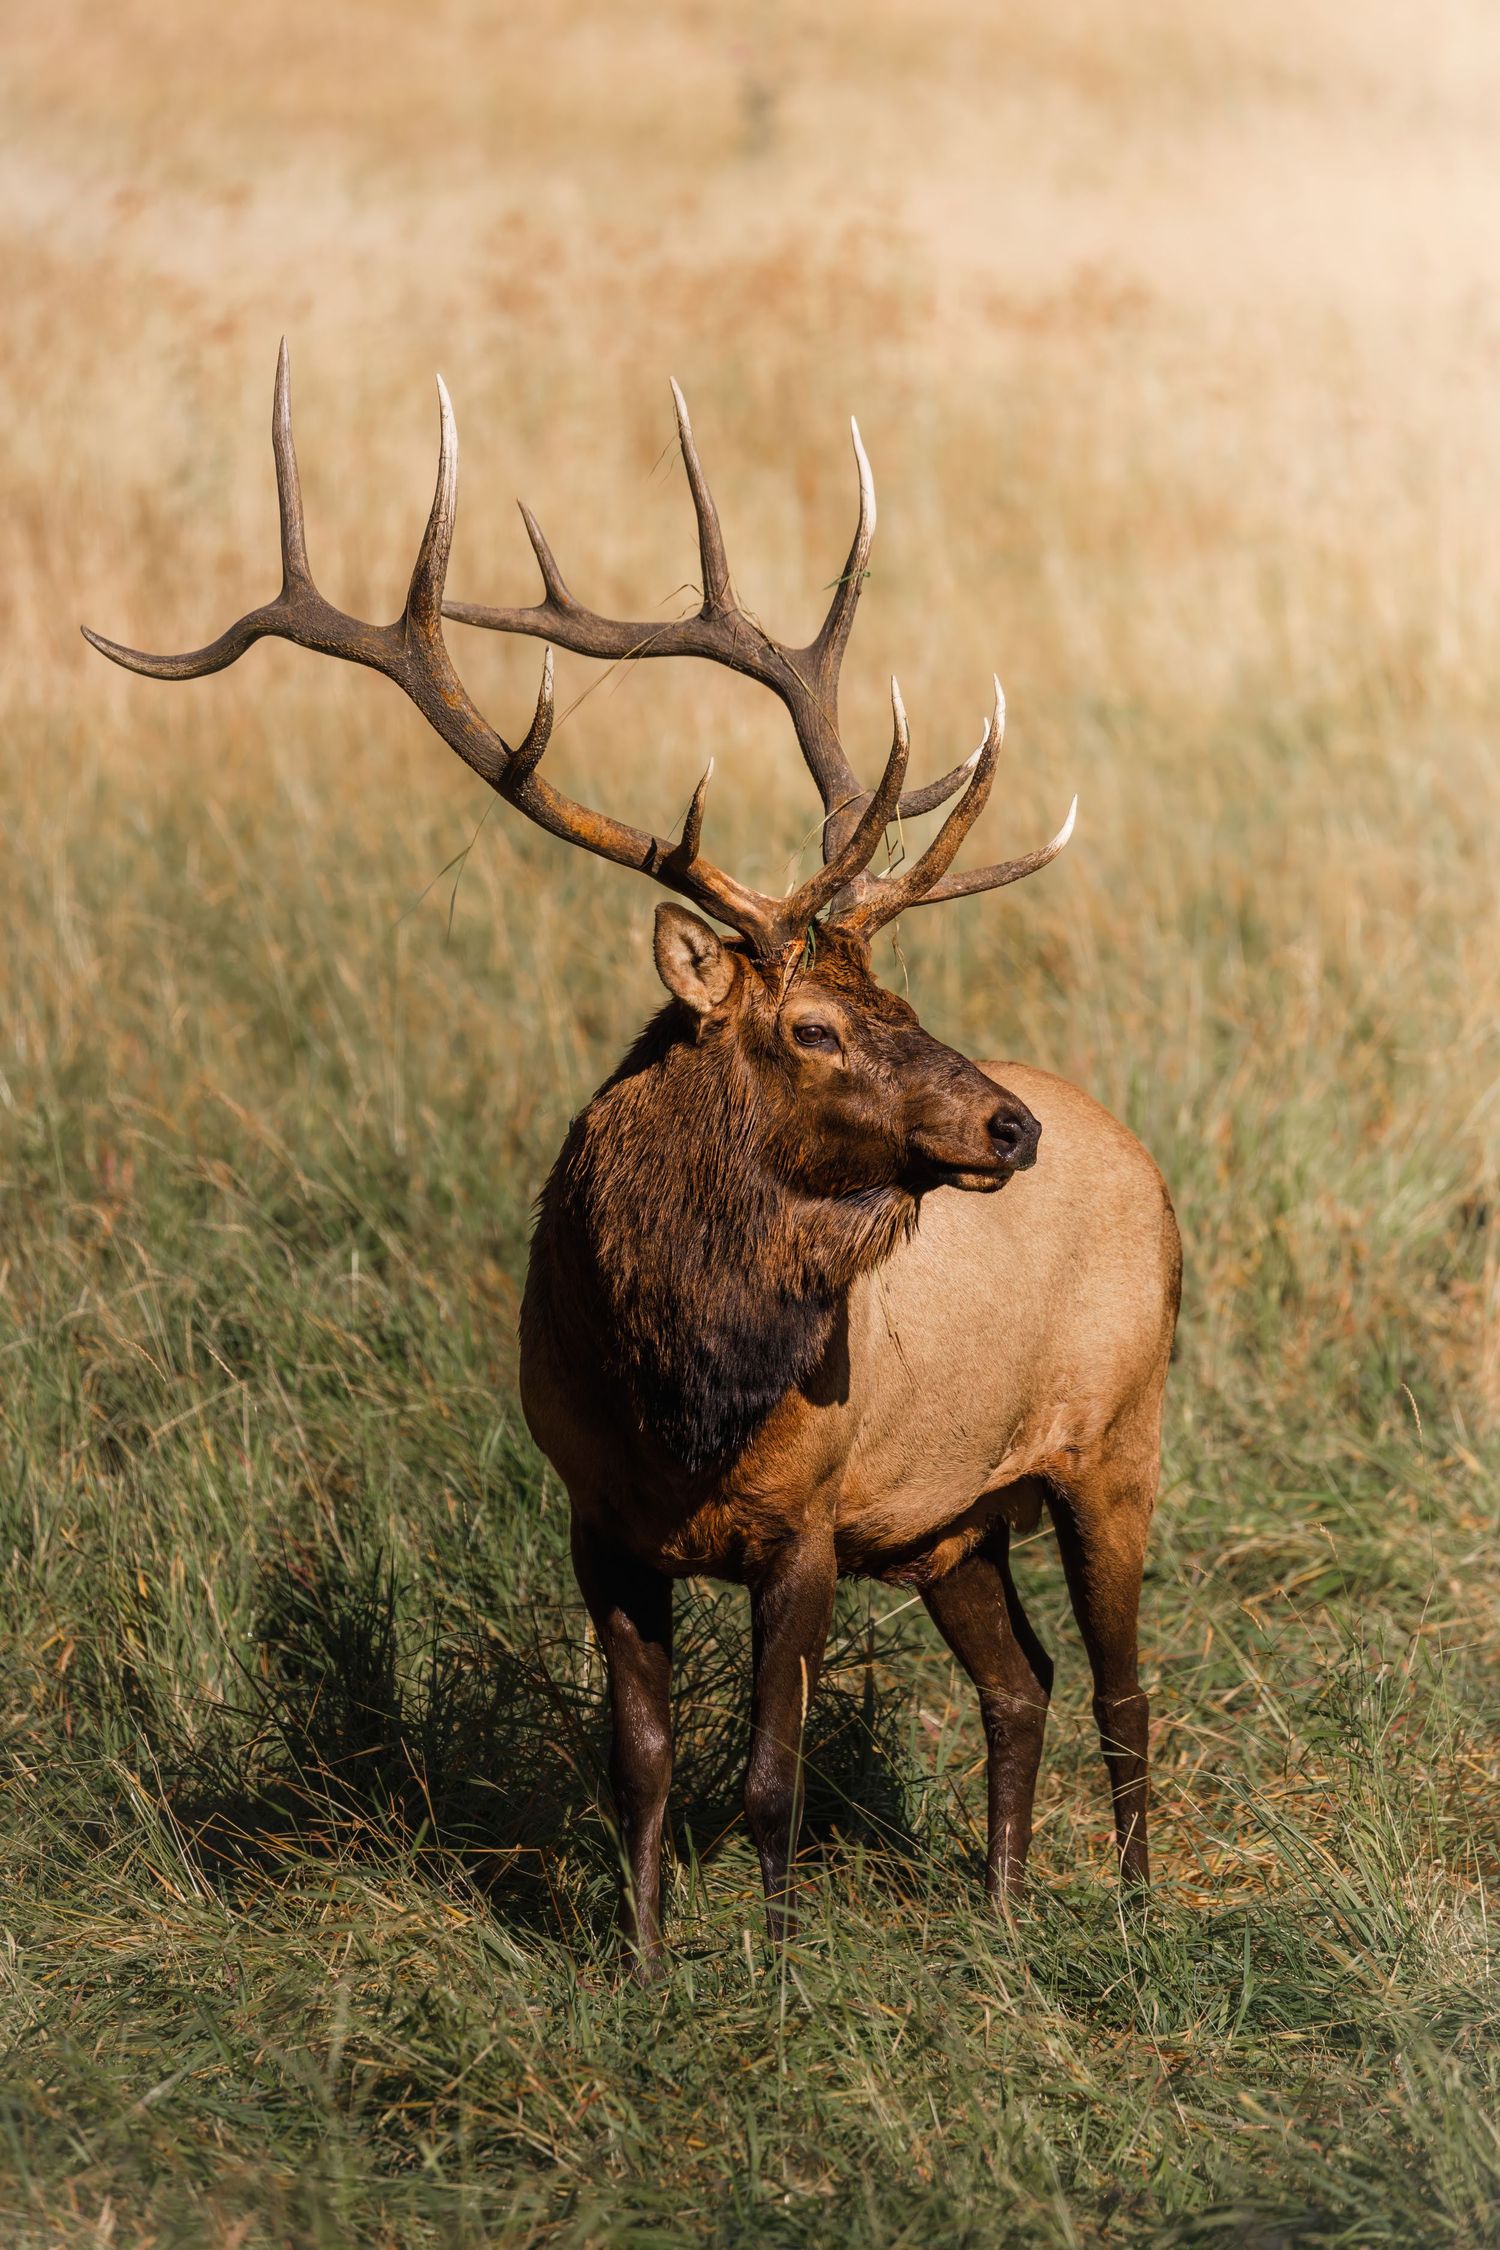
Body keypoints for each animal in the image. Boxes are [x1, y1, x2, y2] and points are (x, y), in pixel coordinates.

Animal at [85, 346, 1182, 1971]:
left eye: (902, 997)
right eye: (812, 1024)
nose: (1008, 1126)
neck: (681, 1395)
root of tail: (1151, 1170)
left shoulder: (809, 1520)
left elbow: (775, 1774)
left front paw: (776, 1976)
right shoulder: (596, 1516)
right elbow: (642, 1760)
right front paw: (647, 1964)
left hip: (1114, 1436)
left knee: (1121, 1684)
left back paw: (1130, 1917)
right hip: (948, 1522)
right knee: (1023, 1680)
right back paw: (996, 1909)